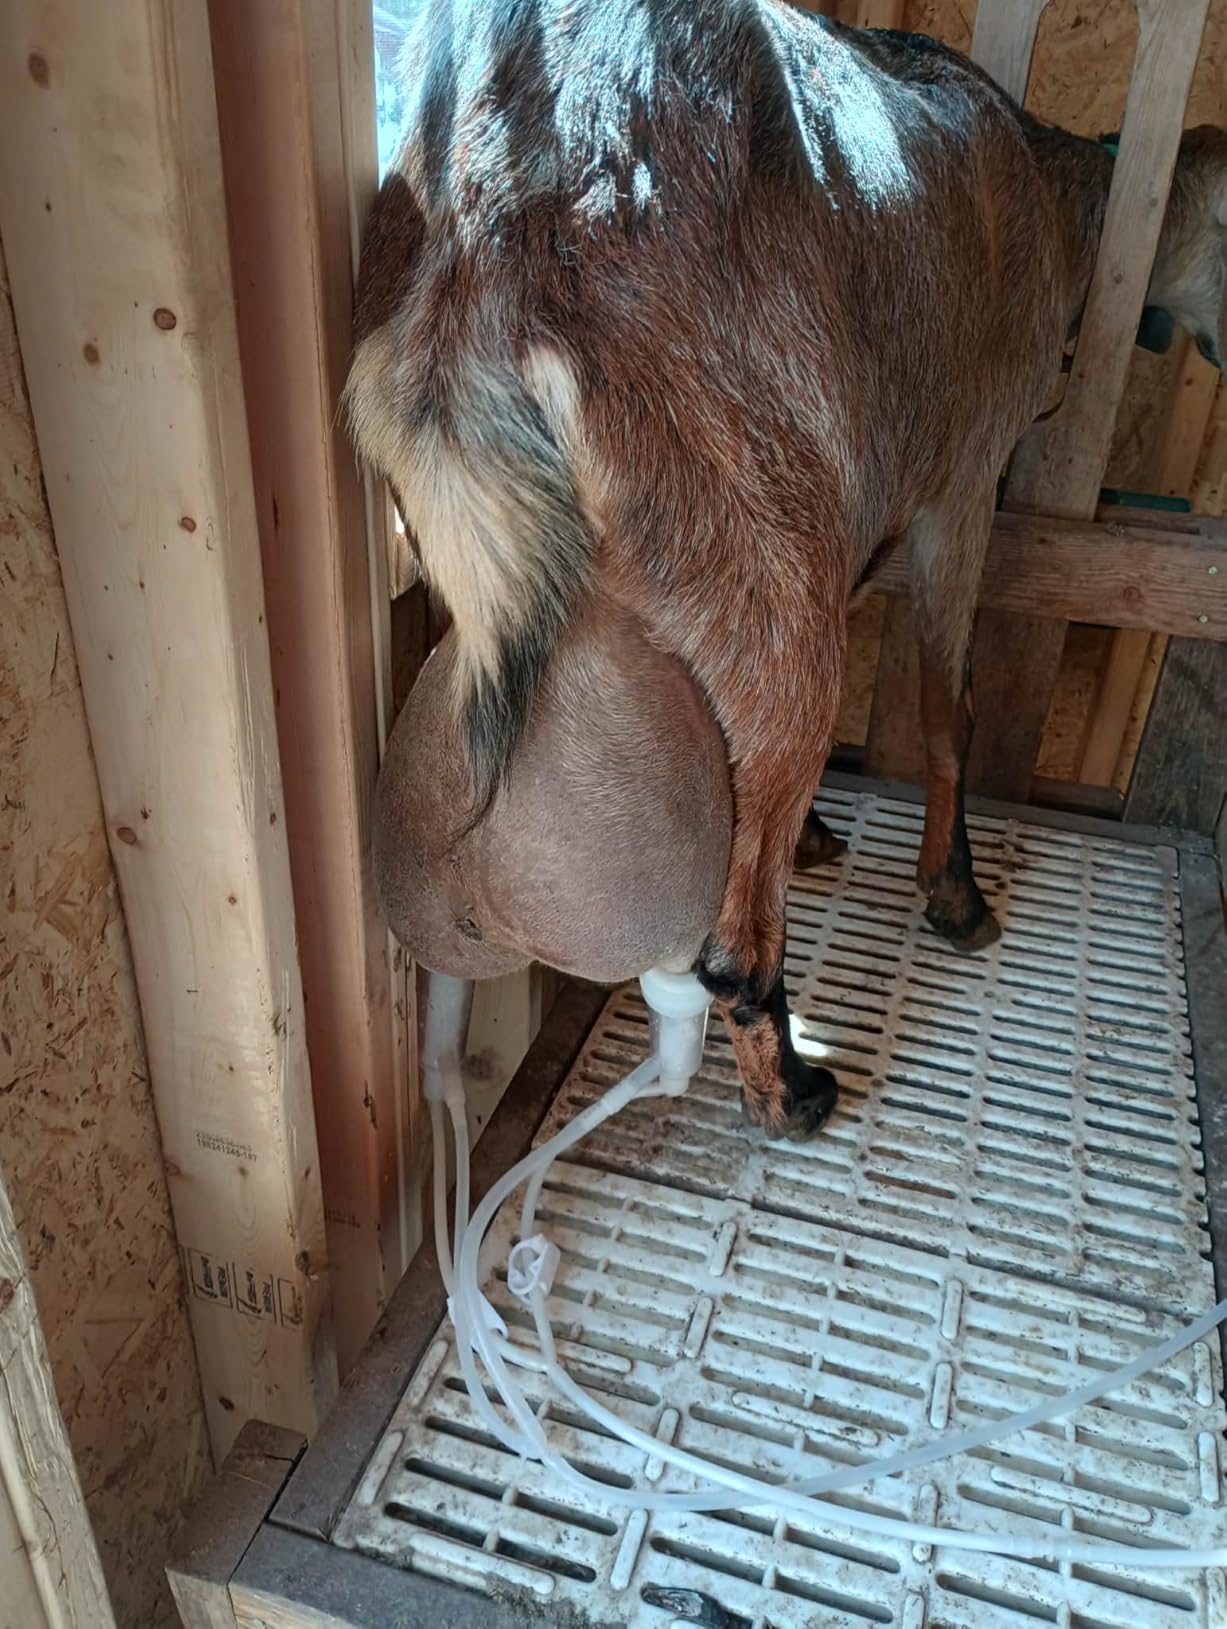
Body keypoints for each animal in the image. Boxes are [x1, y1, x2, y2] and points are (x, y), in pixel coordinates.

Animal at [347, 1, 1227, 1138]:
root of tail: (482, 245)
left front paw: (817, 836)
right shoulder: (964, 474)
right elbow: (947, 705)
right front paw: (954, 894)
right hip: (762, 548)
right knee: (732, 936)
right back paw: (794, 1094)